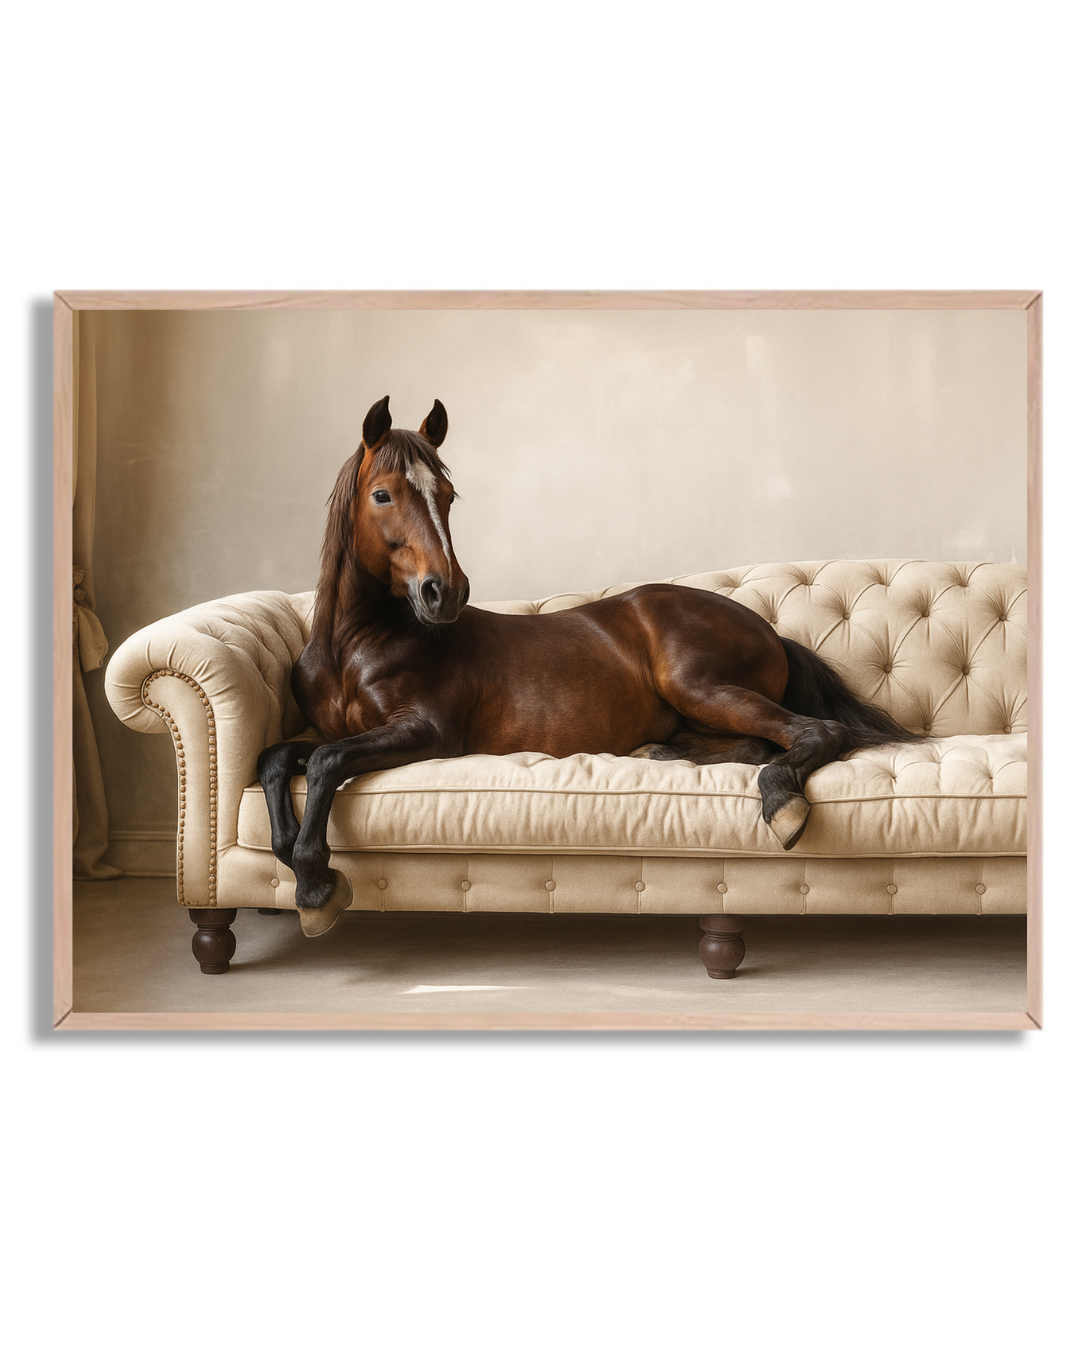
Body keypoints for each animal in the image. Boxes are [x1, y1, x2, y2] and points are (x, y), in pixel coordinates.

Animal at [258, 395, 919, 935]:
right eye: (383, 494)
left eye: (446, 497)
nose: (444, 593)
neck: (353, 646)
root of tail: (769, 629)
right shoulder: (335, 729)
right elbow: (279, 757)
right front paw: (290, 849)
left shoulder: (430, 734)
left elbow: (324, 762)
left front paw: (314, 885)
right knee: (757, 744)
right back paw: (658, 753)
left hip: (696, 686)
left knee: (810, 735)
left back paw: (781, 803)